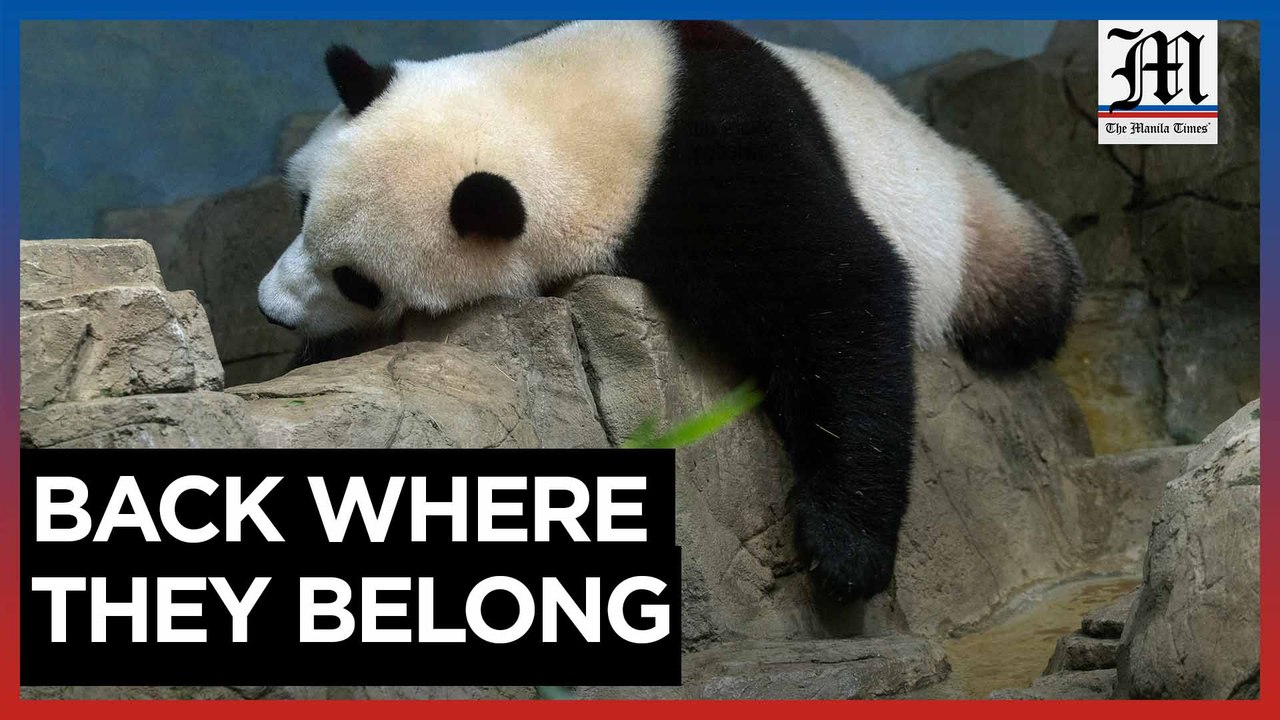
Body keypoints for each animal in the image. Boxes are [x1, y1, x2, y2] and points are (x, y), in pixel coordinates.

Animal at [259, 20, 1083, 602]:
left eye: (356, 279)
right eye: (300, 205)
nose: (272, 311)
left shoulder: (720, 160)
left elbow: (840, 291)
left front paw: (843, 551)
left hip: (969, 224)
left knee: (1028, 290)